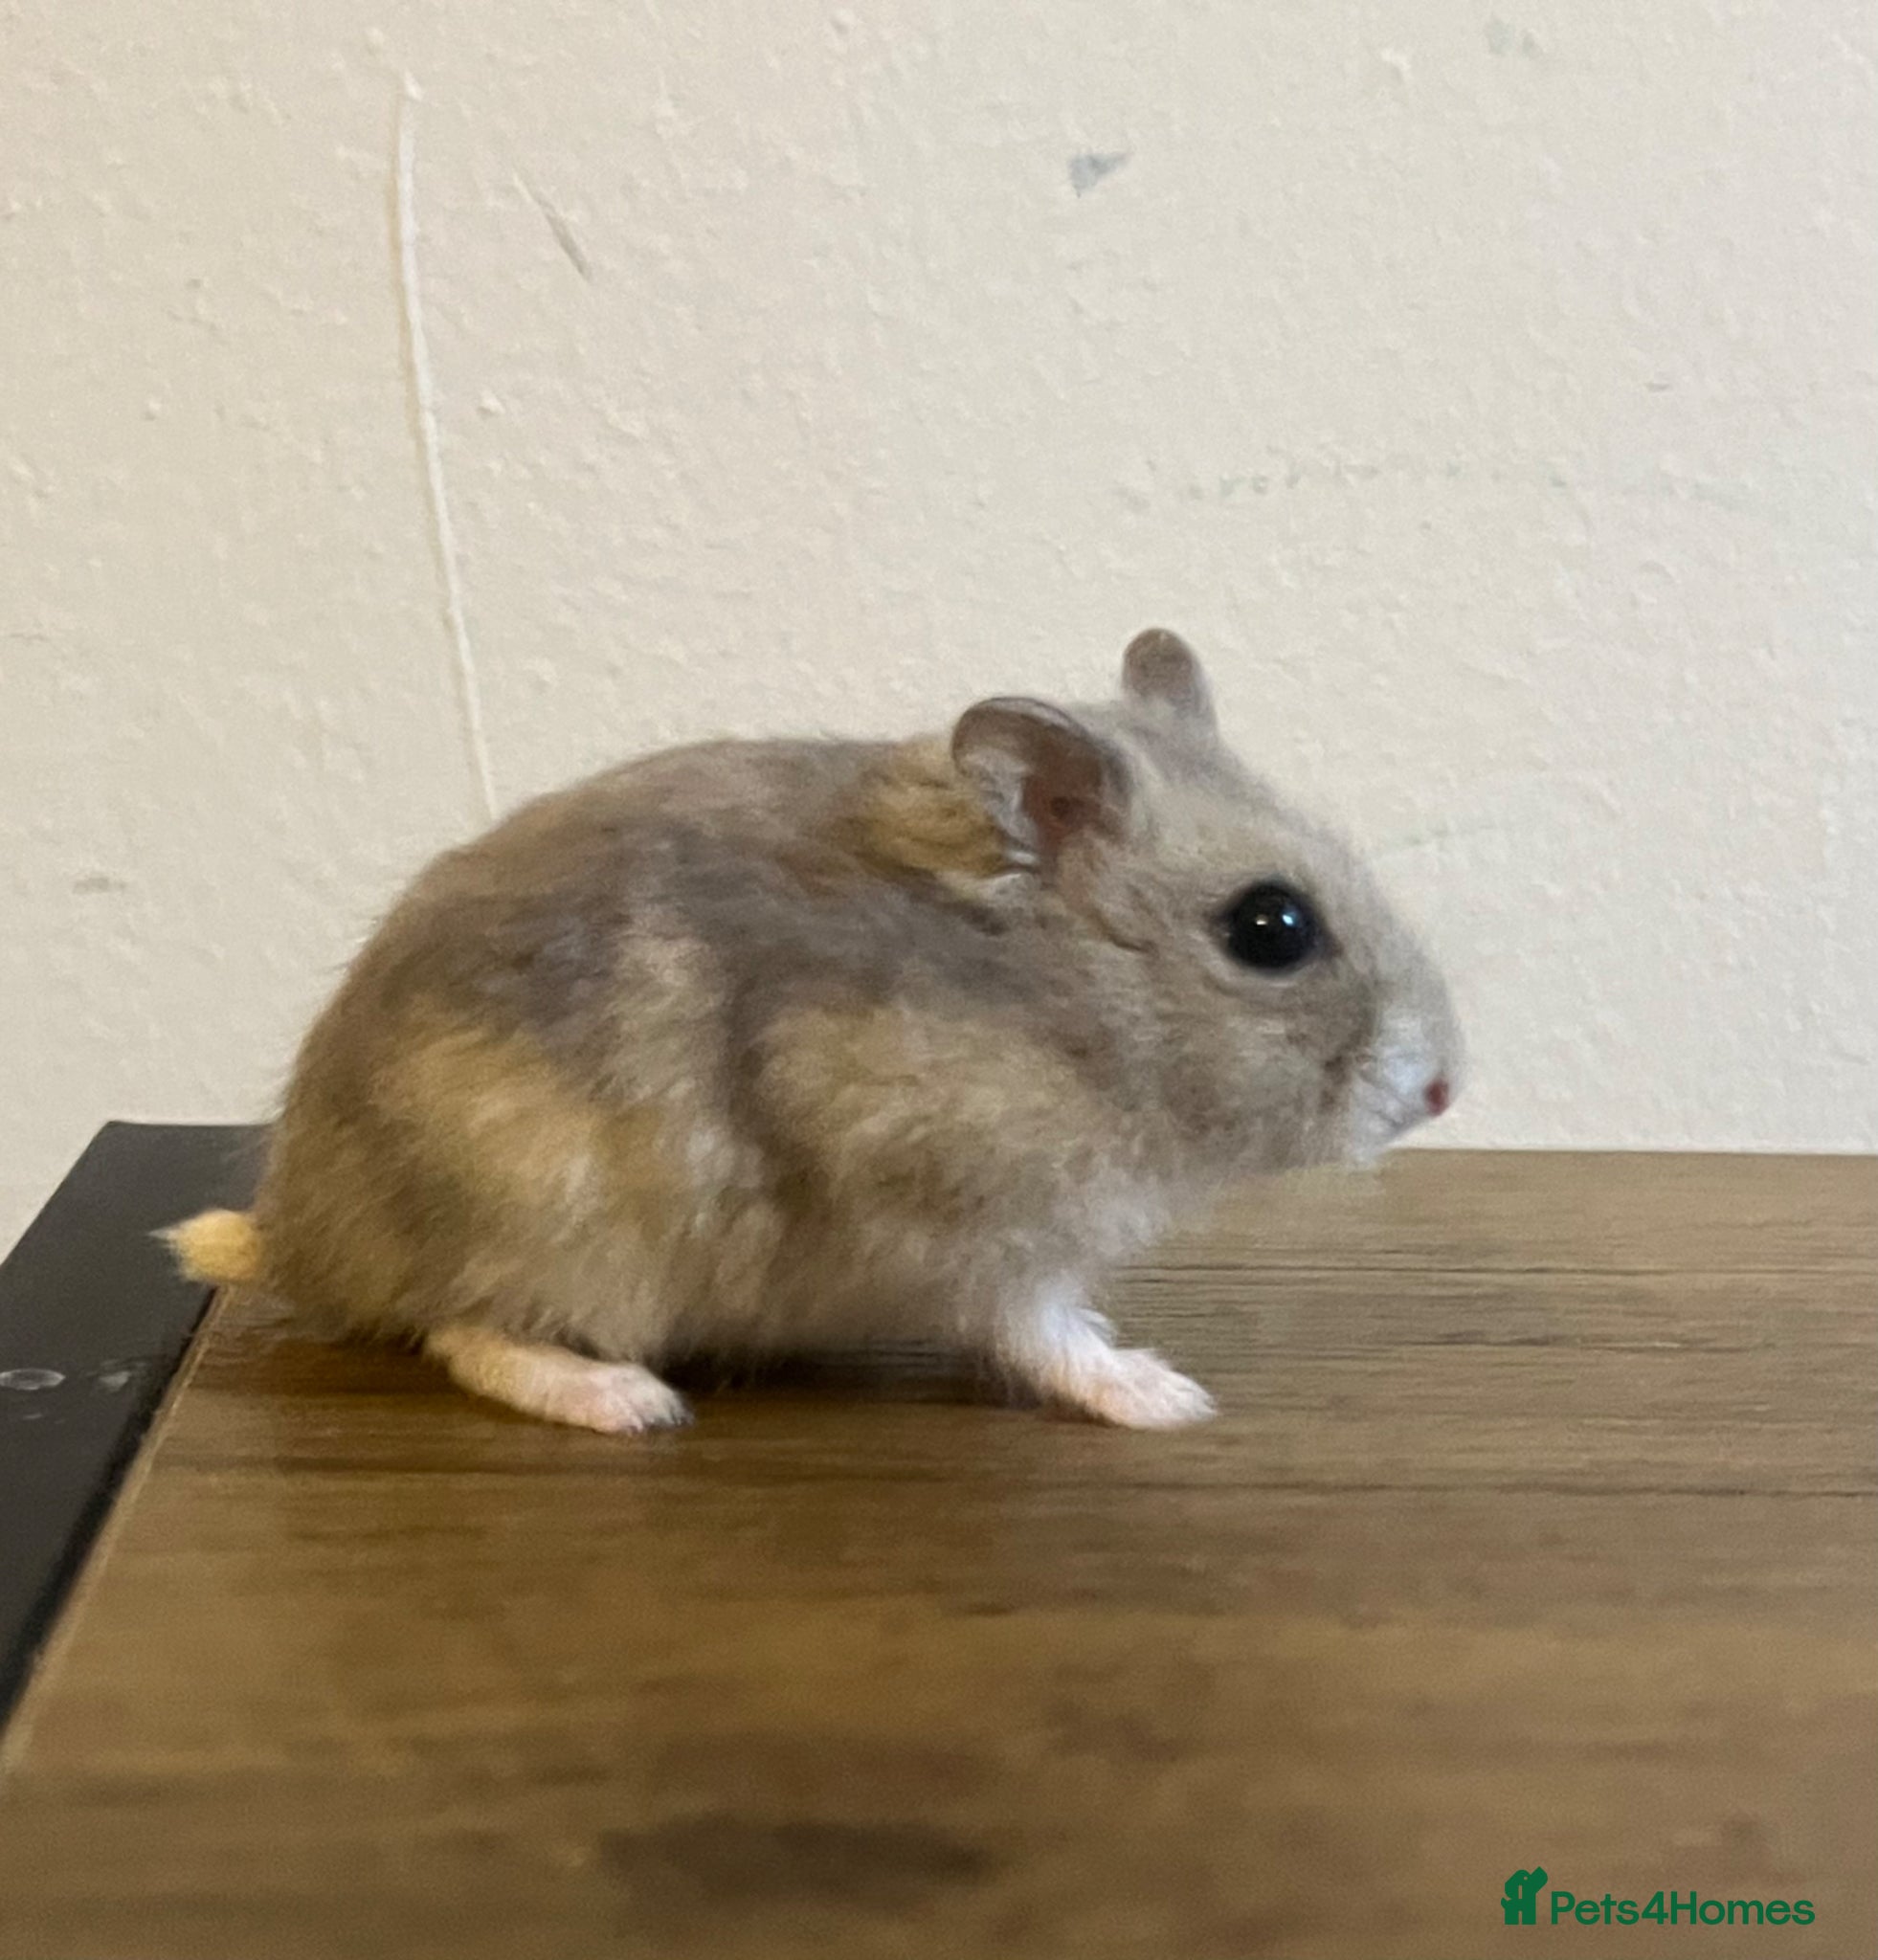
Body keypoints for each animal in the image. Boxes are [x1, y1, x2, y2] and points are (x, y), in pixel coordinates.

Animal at [168, 631, 1459, 1433]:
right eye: (1271, 927)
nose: (1444, 1088)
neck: (1065, 1014)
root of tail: (295, 1243)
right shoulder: (969, 1225)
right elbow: (1044, 1334)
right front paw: (1169, 1395)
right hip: (537, 1213)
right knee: (462, 1331)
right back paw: (630, 1403)